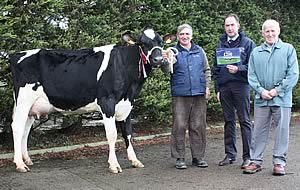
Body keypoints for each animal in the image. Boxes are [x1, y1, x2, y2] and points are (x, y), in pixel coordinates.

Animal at [9, 27, 175, 173]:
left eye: (161, 42)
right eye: (142, 43)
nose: (158, 59)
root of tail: (16, 55)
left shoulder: (128, 103)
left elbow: (128, 133)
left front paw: (134, 160)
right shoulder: (107, 102)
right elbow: (112, 134)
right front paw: (114, 165)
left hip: (31, 107)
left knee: (25, 130)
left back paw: (26, 159)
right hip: (24, 100)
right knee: (17, 127)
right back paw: (20, 164)